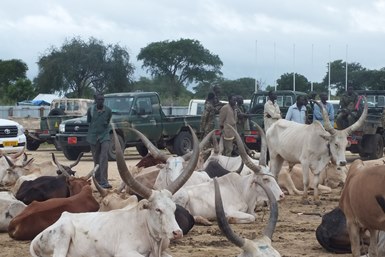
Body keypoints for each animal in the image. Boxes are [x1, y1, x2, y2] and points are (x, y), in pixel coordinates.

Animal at [29, 125, 198, 256]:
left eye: (174, 208)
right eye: (158, 209)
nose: (177, 233)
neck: (144, 225)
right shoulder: (125, 252)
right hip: (64, 235)